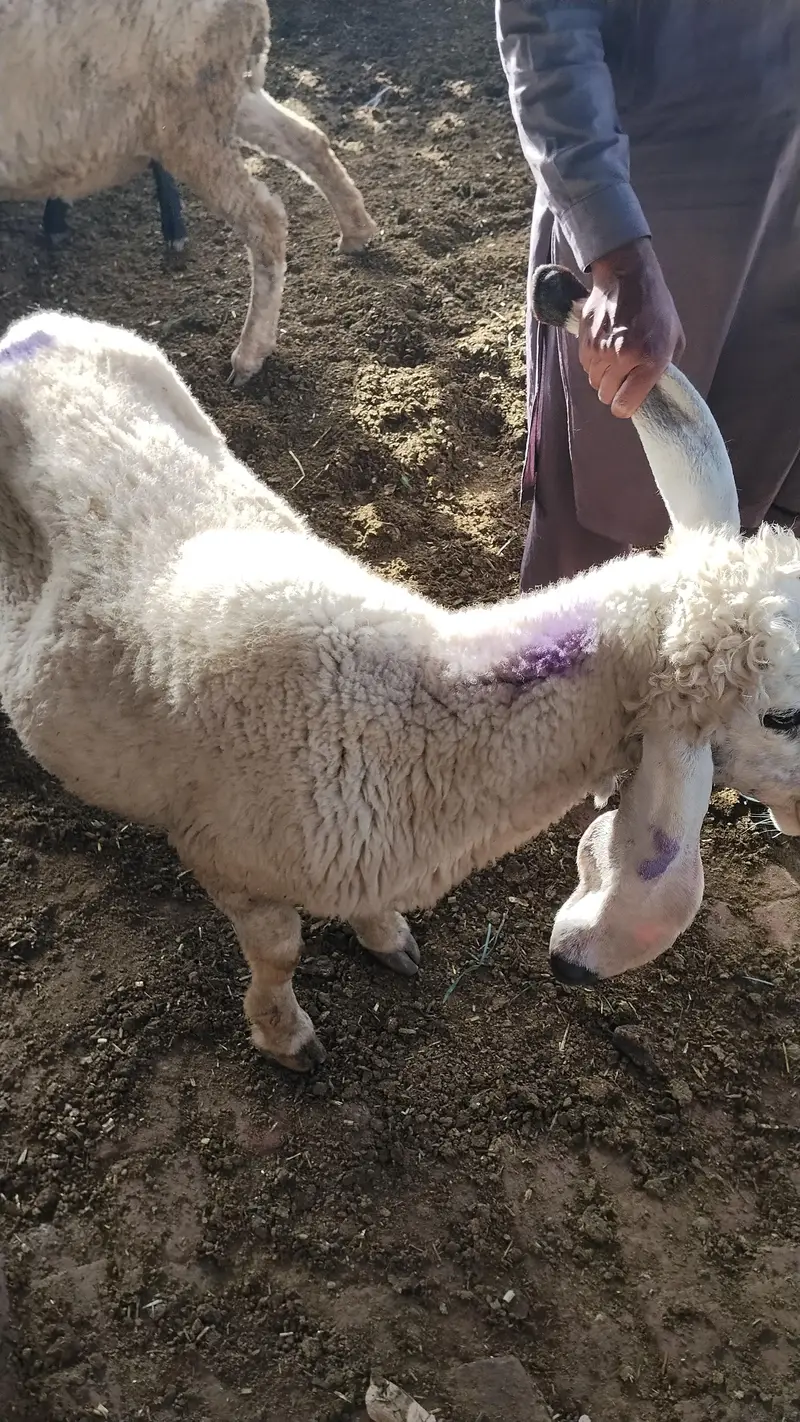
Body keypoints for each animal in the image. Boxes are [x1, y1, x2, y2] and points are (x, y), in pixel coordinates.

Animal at [1, 0, 377, 384]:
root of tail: (253, 8)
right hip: (217, 97)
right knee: (307, 138)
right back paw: (356, 232)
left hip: (186, 118)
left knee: (264, 219)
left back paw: (249, 354)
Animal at [1, 270, 800, 1073]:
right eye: (784, 716)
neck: (417, 714)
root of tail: (37, 326)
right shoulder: (230, 863)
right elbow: (279, 953)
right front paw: (284, 1035)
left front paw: (384, 937)